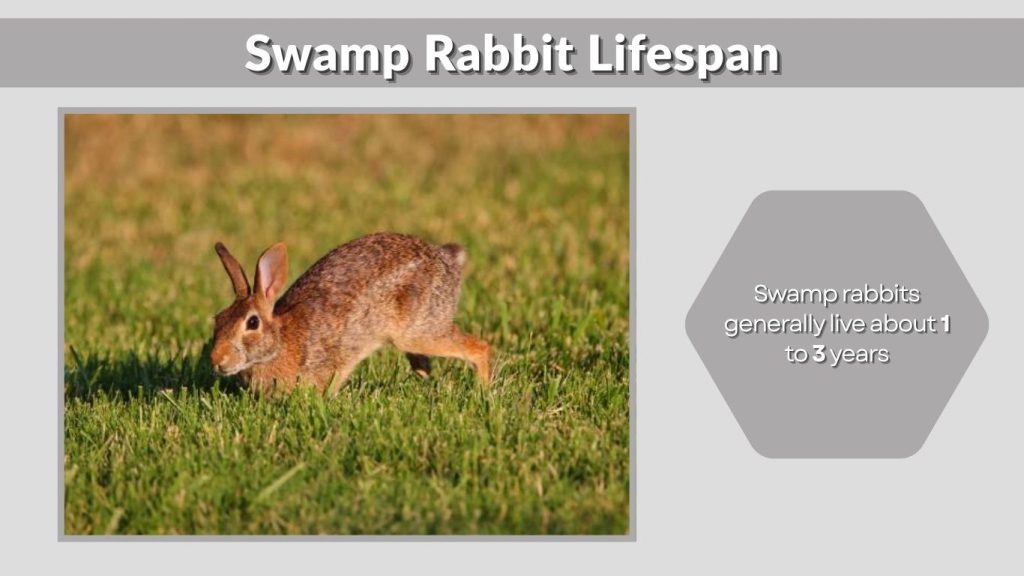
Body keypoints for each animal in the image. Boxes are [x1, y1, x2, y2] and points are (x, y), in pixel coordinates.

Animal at [210, 233, 491, 394]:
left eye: (252, 322)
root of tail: (448, 260)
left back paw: (482, 391)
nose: (216, 359)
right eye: (218, 318)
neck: (280, 343)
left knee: (479, 348)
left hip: (421, 331)